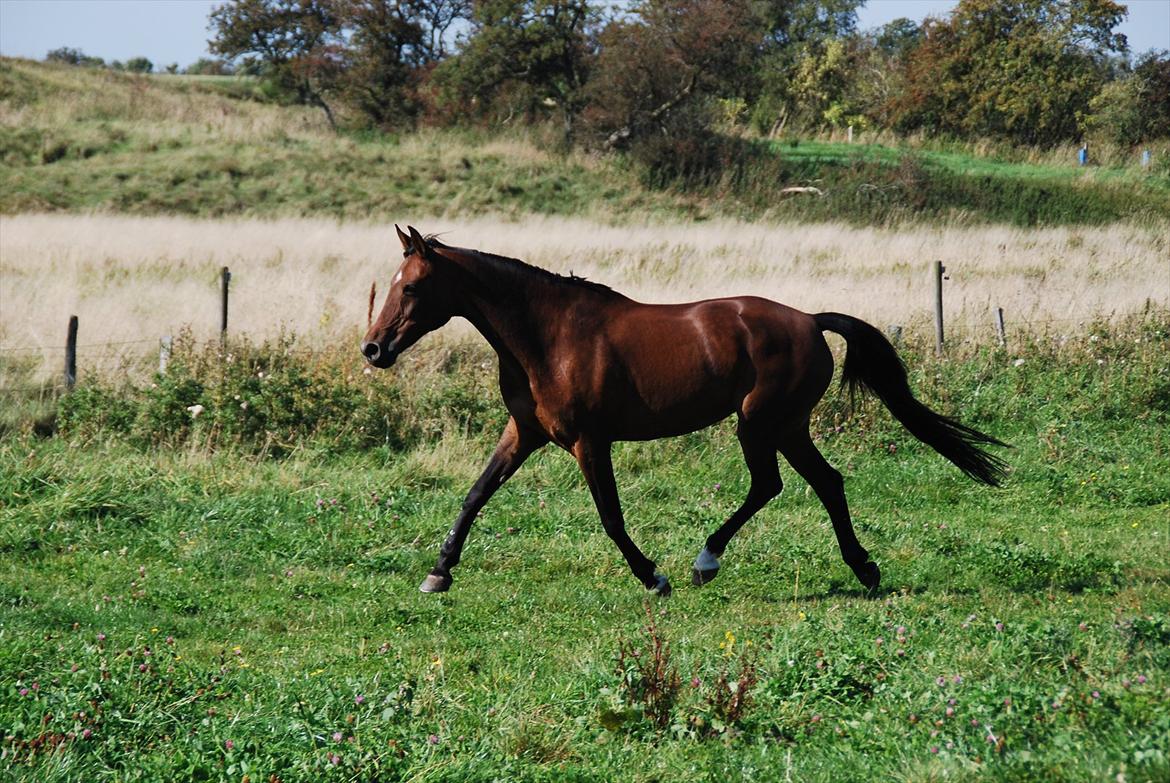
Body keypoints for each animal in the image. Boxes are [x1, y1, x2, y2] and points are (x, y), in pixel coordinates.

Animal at [360, 229, 1001, 594]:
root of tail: (811, 321)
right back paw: (862, 569)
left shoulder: (589, 442)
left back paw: (705, 561)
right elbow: (474, 495)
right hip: (786, 426)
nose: (373, 349)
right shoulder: (524, 432)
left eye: (411, 287)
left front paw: (654, 577)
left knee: (773, 485)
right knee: (824, 482)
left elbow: (611, 518)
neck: (547, 337)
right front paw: (439, 572)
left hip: (761, 423)